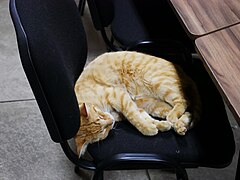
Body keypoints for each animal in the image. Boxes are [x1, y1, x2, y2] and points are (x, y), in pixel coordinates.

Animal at [73, 50, 201, 156]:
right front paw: (159, 126)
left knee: (184, 101)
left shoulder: (119, 96)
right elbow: (146, 118)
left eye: (101, 117)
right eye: (103, 130)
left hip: (160, 85)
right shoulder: (132, 107)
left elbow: (134, 118)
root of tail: (182, 72)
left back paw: (176, 120)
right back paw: (180, 125)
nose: (111, 121)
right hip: (152, 104)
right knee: (186, 111)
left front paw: (148, 129)